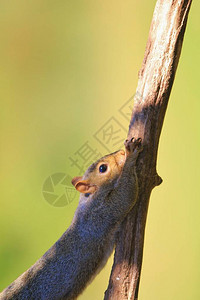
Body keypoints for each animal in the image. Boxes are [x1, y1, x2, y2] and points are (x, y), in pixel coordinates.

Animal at [0, 138, 143, 300]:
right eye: (102, 168)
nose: (121, 153)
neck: (88, 199)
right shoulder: (100, 213)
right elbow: (125, 196)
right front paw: (131, 155)